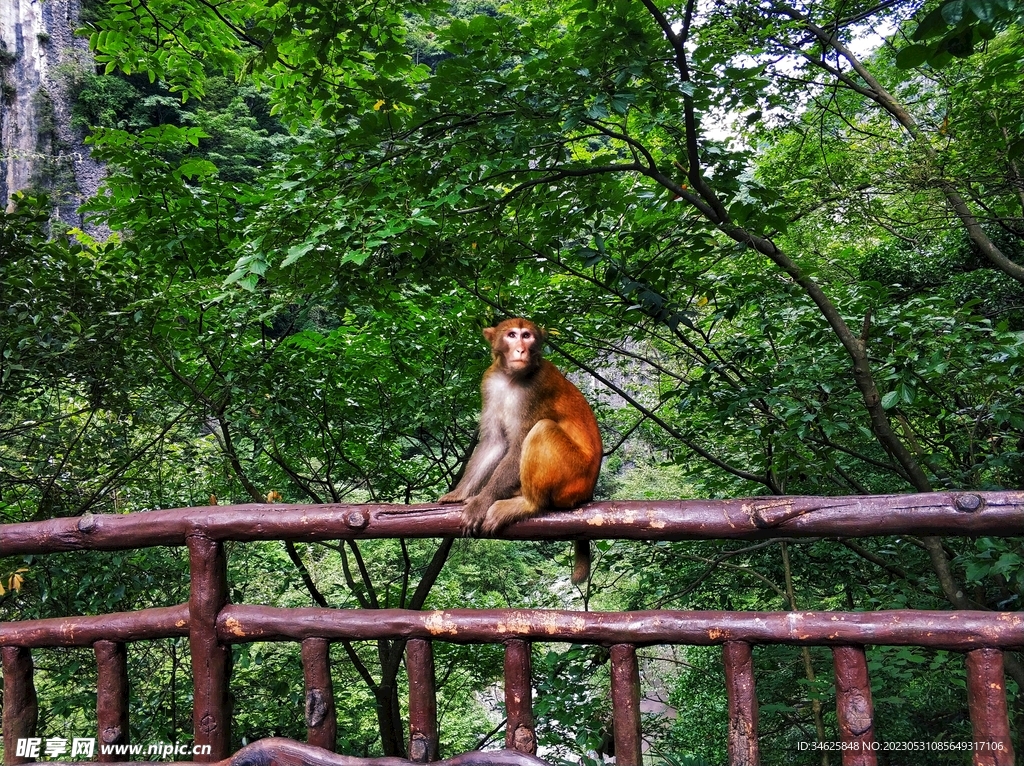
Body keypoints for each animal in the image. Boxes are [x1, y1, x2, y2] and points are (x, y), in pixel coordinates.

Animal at [438, 315, 598, 581]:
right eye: (512, 335)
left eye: (527, 336)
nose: (521, 350)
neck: (511, 378)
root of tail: (589, 491)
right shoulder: (490, 382)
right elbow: (495, 442)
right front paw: (459, 493)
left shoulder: (536, 388)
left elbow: (517, 445)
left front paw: (481, 502)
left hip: (574, 476)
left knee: (542, 429)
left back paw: (527, 504)